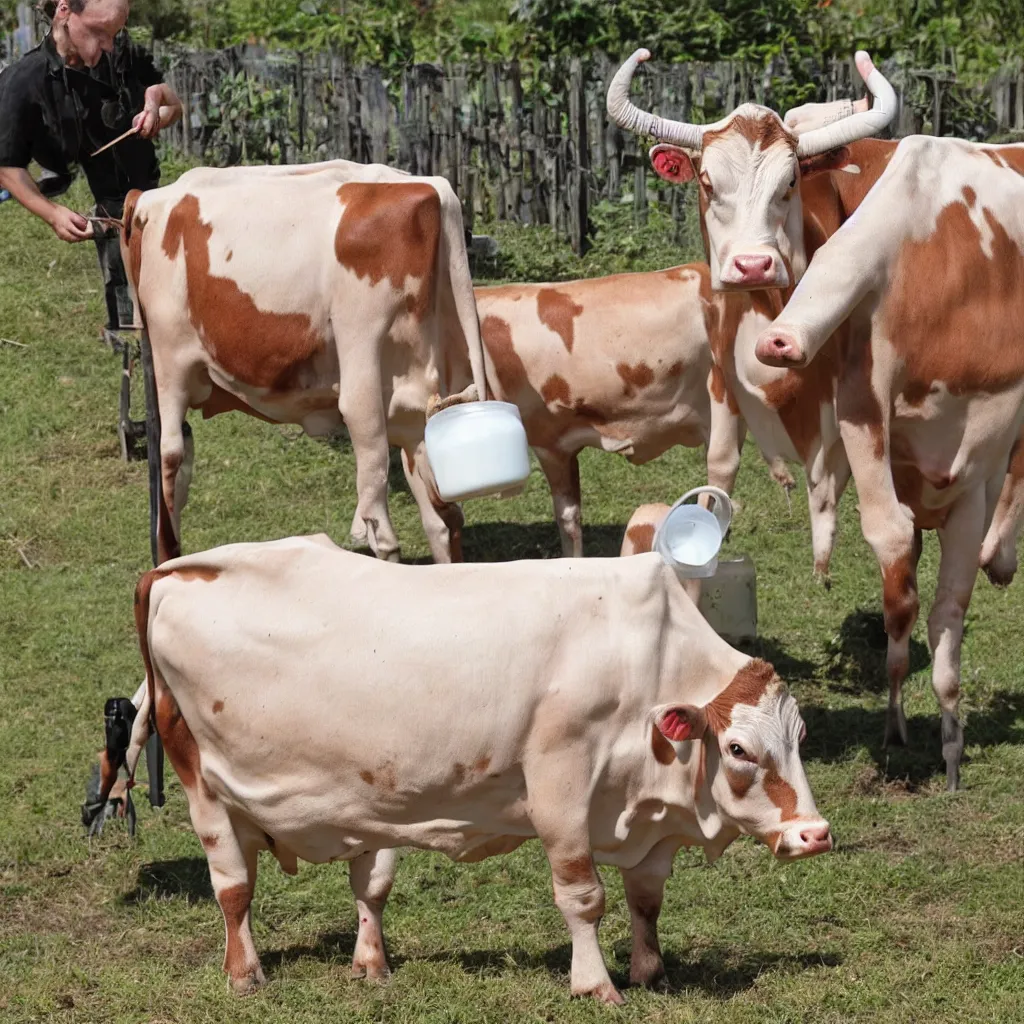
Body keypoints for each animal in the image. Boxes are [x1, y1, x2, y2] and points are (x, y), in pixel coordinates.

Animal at [90, 536, 831, 999]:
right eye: (738, 750)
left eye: (800, 735)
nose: (815, 835)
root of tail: (178, 568)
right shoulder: (560, 787)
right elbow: (583, 896)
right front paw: (596, 984)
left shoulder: (644, 813)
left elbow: (645, 896)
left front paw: (650, 970)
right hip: (205, 786)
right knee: (234, 888)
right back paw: (244, 973)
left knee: (370, 884)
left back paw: (371, 964)